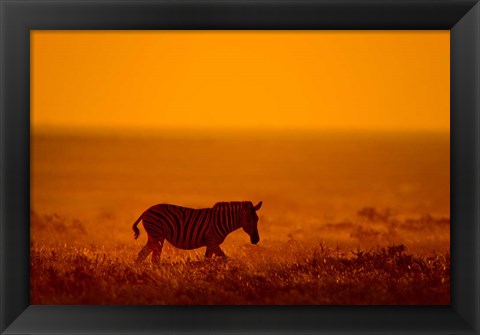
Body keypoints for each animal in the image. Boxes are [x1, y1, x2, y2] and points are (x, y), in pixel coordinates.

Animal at [131, 201, 262, 266]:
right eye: (249, 220)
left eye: (257, 219)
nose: (256, 240)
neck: (222, 220)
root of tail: (146, 211)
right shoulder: (212, 241)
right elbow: (225, 258)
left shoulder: (210, 244)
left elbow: (207, 261)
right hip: (157, 234)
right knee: (154, 259)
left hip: (154, 236)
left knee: (142, 255)